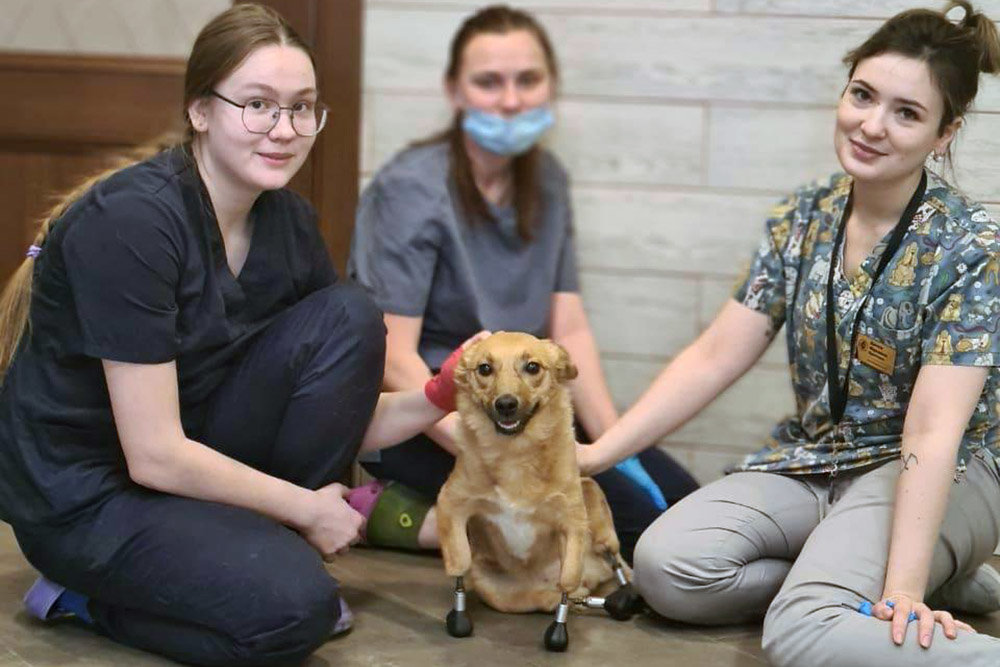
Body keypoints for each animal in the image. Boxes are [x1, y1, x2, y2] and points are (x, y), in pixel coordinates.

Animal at [436, 334, 624, 628]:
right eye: (484, 368)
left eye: (533, 367)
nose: (505, 403)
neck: (515, 453)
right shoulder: (451, 501)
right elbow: (459, 558)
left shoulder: (571, 515)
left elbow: (569, 572)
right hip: (494, 587)